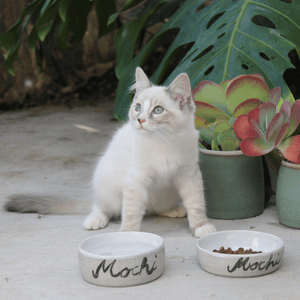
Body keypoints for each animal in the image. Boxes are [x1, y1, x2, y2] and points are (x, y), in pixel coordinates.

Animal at [4, 67, 216, 237]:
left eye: (157, 110)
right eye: (138, 107)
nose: (139, 120)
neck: (165, 141)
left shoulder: (189, 174)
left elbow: (196, 205)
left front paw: (200, 227)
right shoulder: (136, 178)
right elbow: (131, 212)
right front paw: (128, 236)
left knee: (152, 208)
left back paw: (173, 210)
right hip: (110, 189)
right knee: (102, 207)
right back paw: (95, 220)